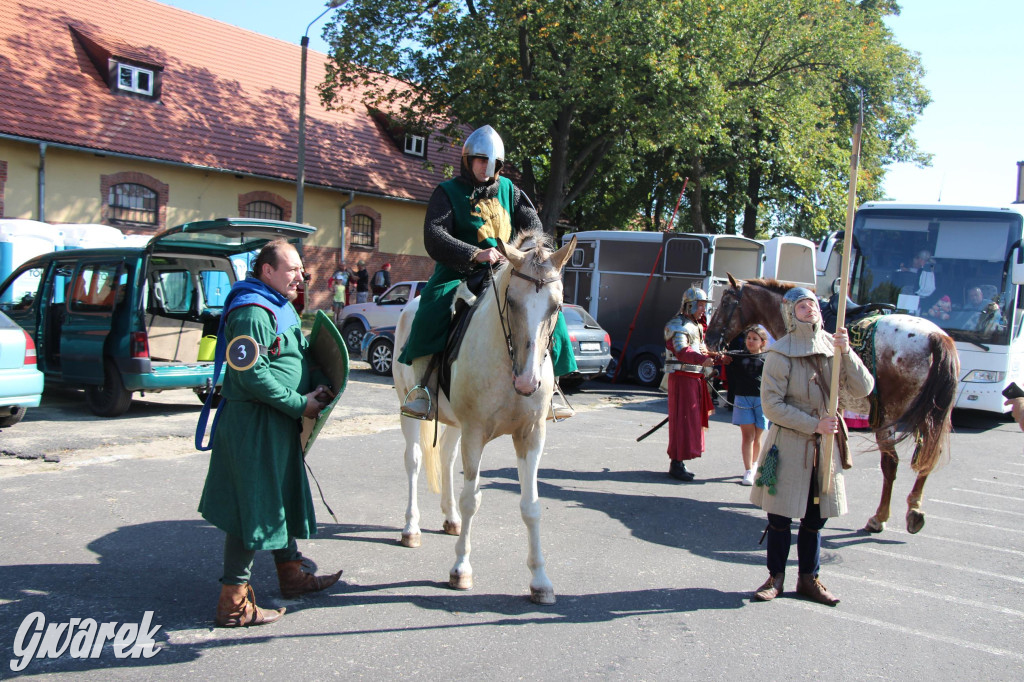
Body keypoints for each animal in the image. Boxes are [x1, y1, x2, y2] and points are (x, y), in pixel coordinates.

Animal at [389, 228, 573, 602]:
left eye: (557, 306)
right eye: (512, 301)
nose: (527, 381)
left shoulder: (531, 435)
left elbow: (531, 505)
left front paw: (540, 581)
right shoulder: (475, 433)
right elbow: (472, 498)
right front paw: (461, 569)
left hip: (456, 423)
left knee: (445, 456)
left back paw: (450, 519)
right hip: (409, 411)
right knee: (413, 460)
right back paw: (411, 528)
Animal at [704, 274, 958, 532]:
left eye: (726, 302)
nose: (709, 338)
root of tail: (935, 336)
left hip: (889, 418)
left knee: (891, 463)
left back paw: (879, 517)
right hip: (931, 417)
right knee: (927, 456)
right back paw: (914, 510)